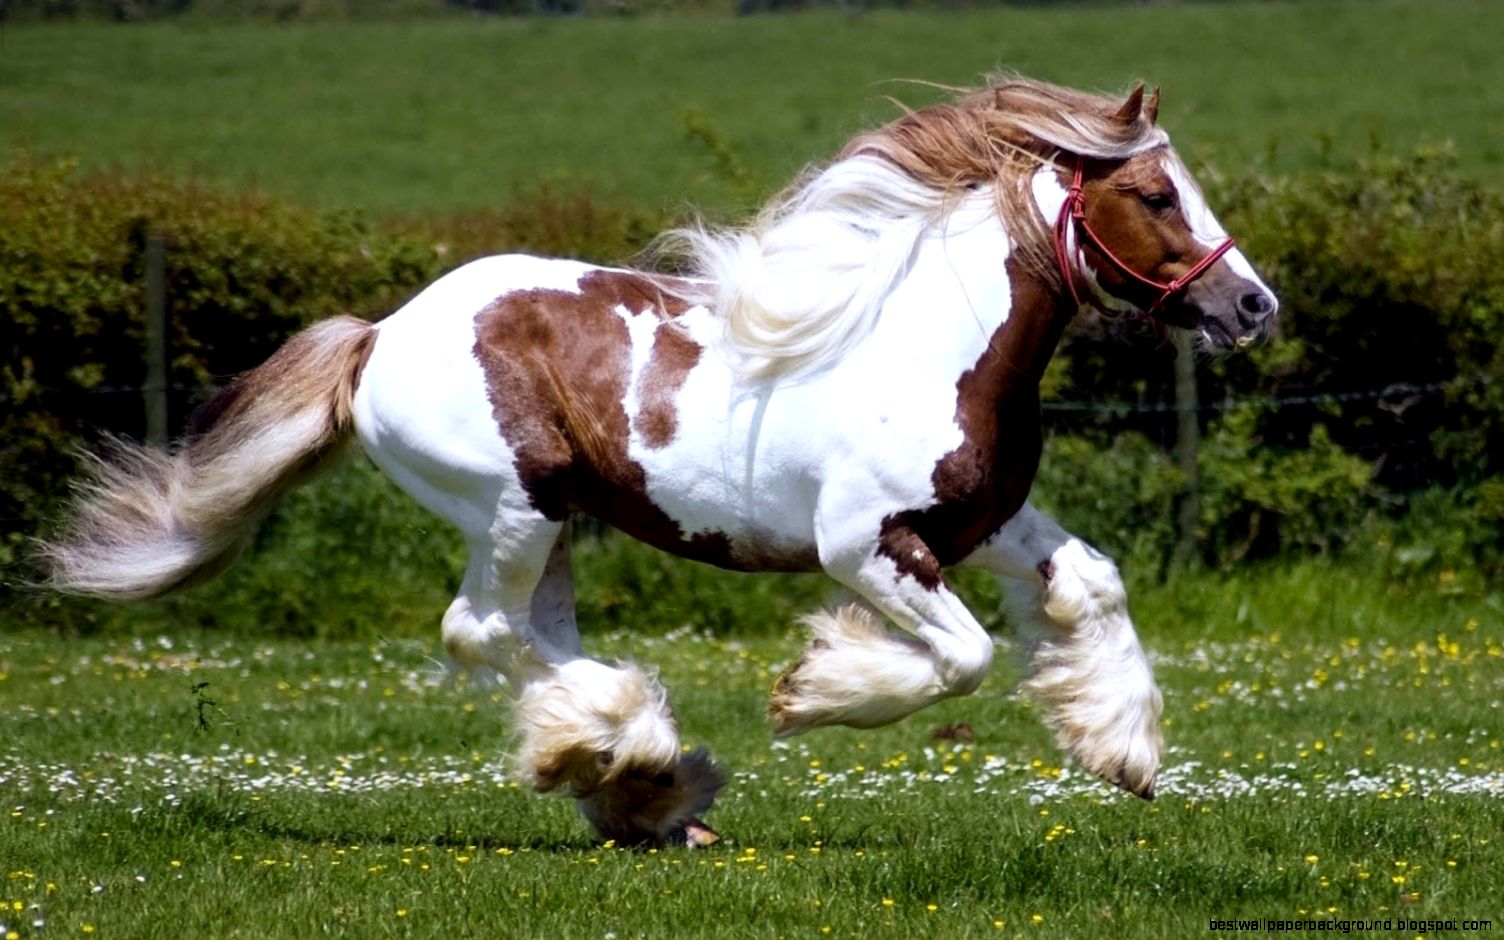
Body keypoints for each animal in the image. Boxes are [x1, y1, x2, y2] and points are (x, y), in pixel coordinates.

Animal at [41, 76, 1277, 847]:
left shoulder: (986, 523)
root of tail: (381, 336)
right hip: (514, 507)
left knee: (529, 636)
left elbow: (1094, 584)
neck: (925, 346)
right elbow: (964, 659)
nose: (1252, 306)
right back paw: (636, 761)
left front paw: (1122, 751)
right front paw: (812, 691)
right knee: (481, 631)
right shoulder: (866, 547)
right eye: (1155, 194)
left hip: (550, 526)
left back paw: (643, 787)